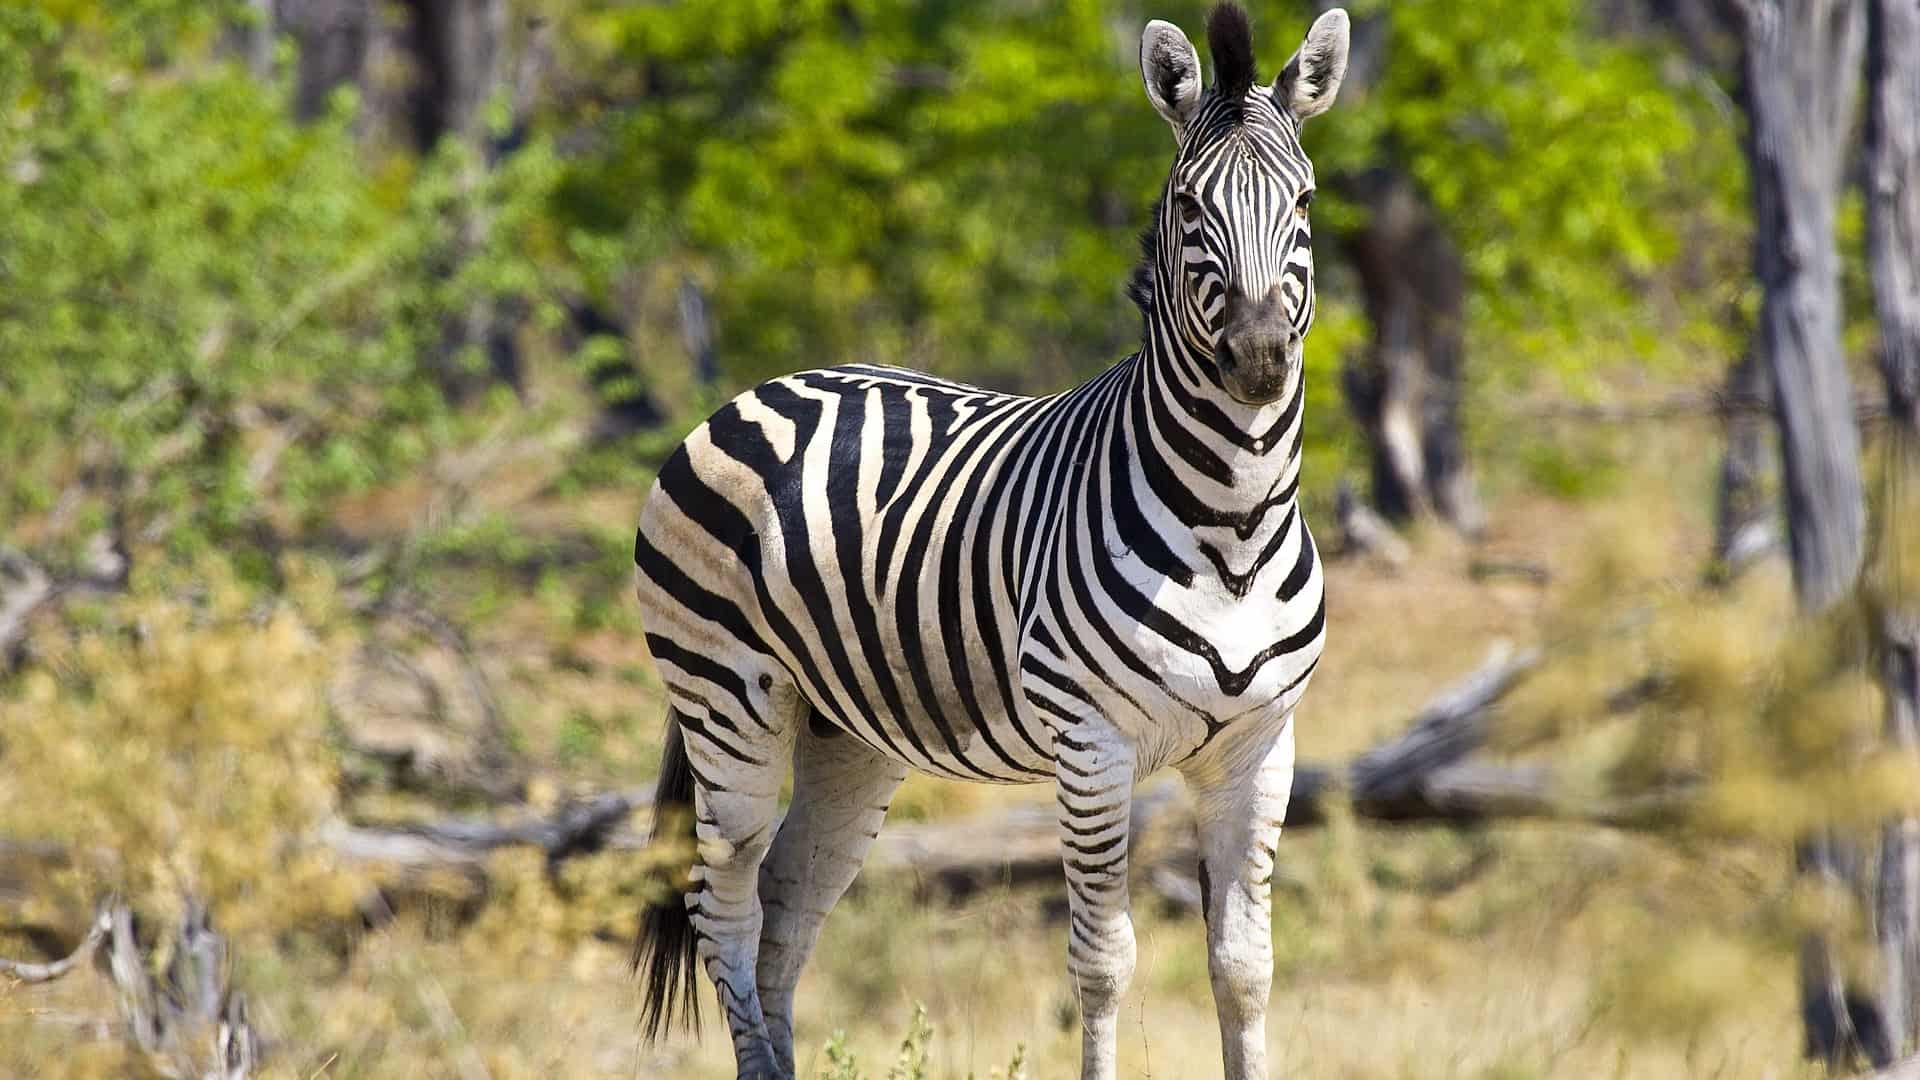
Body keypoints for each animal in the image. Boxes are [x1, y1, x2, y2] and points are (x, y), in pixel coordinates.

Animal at [632, 6, 1348, 1078]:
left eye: (1303, 199)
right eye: (1188, 206)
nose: (1259, 359)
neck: (1234, 524)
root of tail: (763, 388)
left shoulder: (1260, 749)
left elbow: (1244, 967)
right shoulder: (1090, 746)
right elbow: (1104, 964)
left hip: (845, 735)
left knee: (785, 915)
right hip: (726, 701)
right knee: (724, 908)